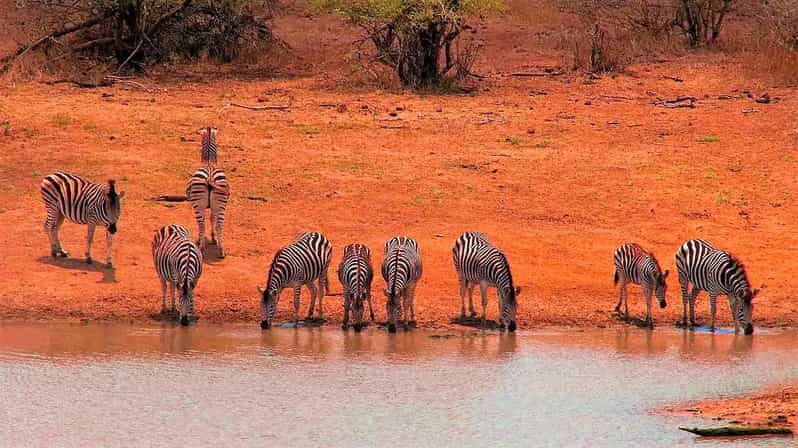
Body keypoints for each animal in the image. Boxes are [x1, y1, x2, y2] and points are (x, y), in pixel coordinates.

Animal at [190, 126, 233, 260]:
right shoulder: (214, 206)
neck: (209, 161)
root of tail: (209, 176)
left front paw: (204, 239)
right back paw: (221, 250)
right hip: (221, 204)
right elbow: (212, 218)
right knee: (219, 224)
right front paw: (214, 239)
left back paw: (201, 247)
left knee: (201, 224)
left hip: (198, 205)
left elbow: (207, 221)